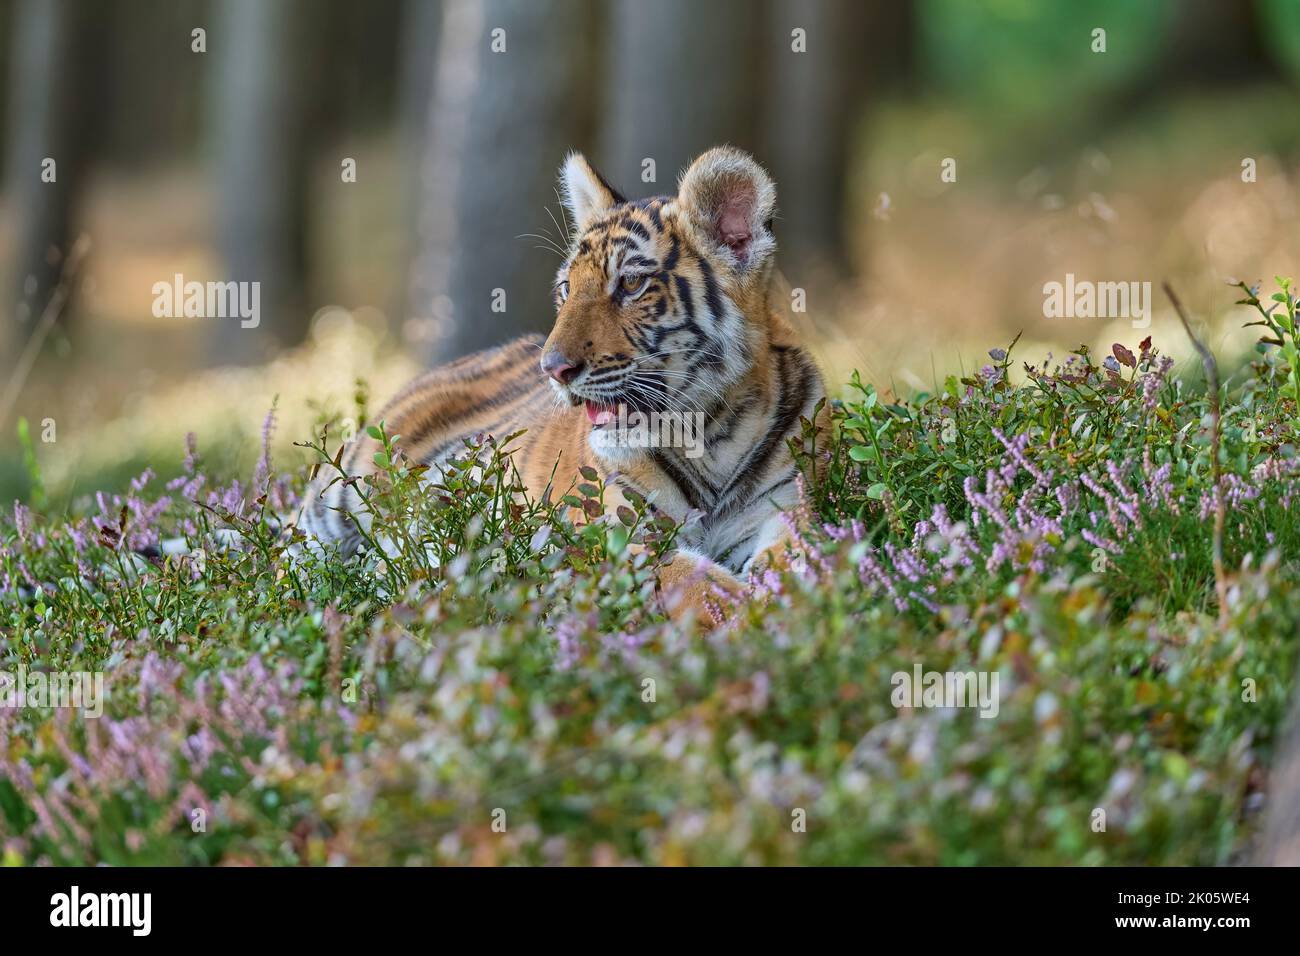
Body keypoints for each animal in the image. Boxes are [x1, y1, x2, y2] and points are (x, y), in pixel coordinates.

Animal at [298, 146, 828, 625]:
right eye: (567, 289)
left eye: (630, 284)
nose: (552, 368)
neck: (712, 435)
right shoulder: (618, 536)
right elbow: (695, 584)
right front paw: (750, 615)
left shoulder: (787, 507)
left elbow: (795, 560)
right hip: (331, 507)